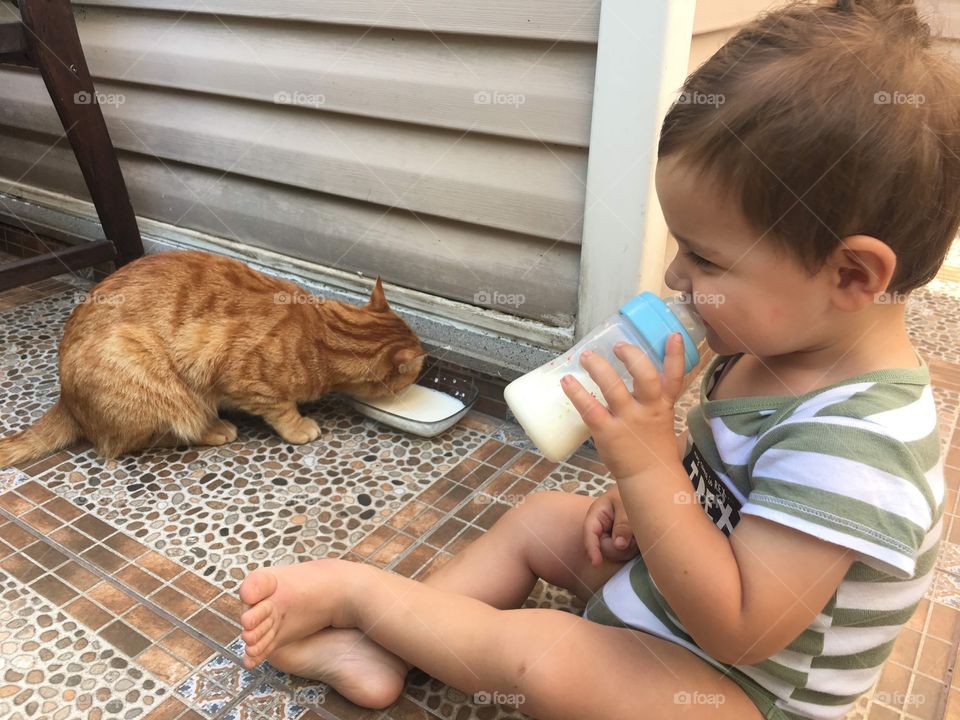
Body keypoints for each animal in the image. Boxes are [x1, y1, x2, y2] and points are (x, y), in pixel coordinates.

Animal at [0, 250, 424, 464]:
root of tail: (66, 400)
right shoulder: (240, 375)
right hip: (146, 373)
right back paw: (214, 428)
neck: (325, 334)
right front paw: (300, 425)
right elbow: (281, 408)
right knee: (138, 440)